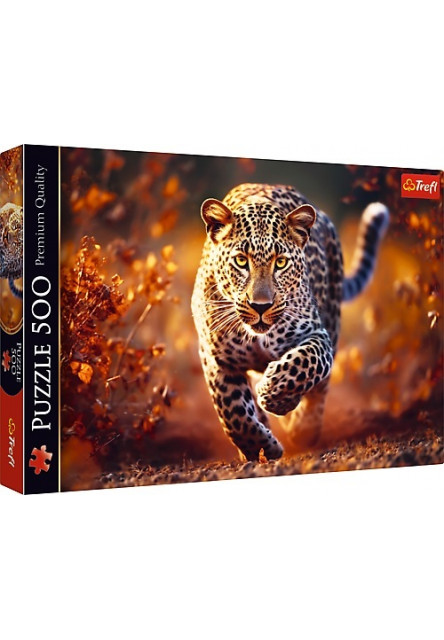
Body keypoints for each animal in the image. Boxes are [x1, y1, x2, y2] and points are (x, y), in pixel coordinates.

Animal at [191, 183, 389, 462]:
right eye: (241, 261)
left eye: (281, 262)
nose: (260, 306)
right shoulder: (215, 358)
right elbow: (233, 412)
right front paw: (260, 448)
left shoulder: (317, 334)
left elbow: (305, 363)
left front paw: (274, 394)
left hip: (333, 319)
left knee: (319, 390)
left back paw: (303, 428)